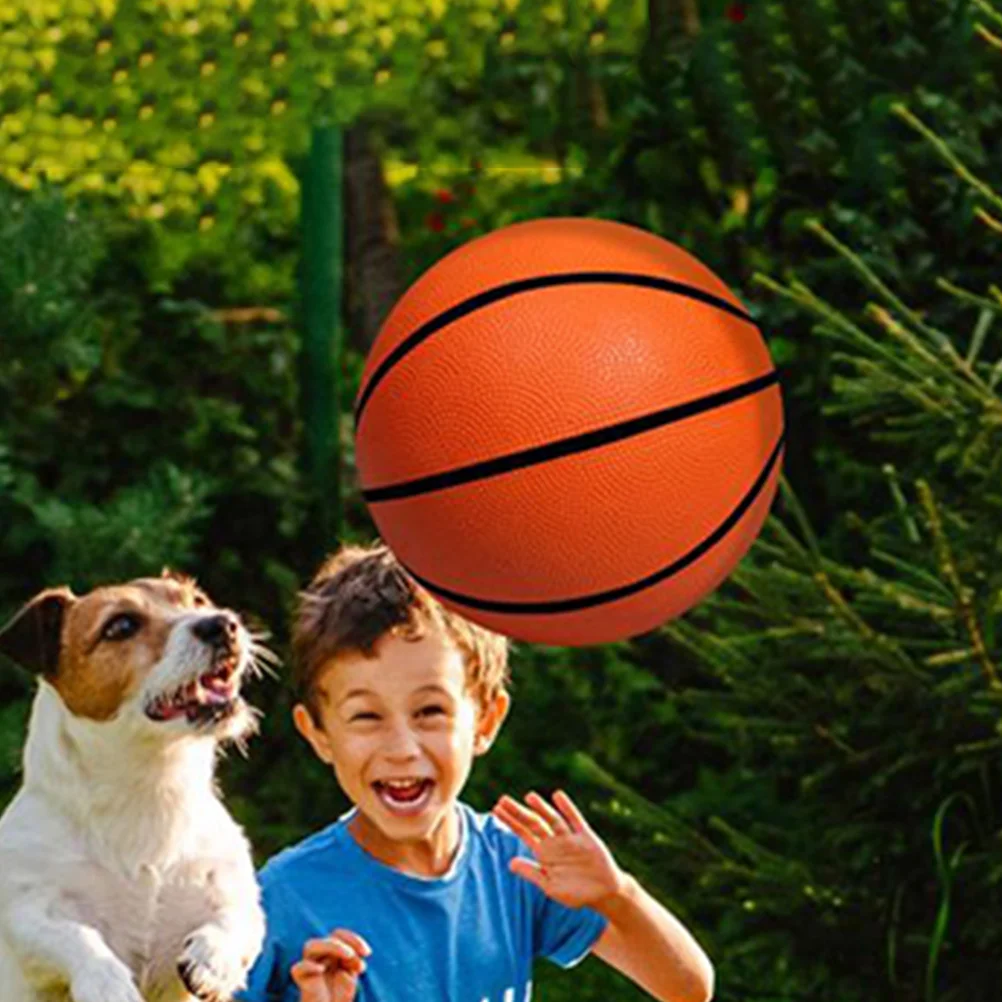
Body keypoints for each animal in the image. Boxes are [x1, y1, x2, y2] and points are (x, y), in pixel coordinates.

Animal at [0, 573, 270, 1002]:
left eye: (197, 600)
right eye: (121, 626)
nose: (222, 623)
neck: (150, 788)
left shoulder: (232, 891)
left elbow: (236, 919)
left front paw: (213, 960)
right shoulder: (29, 911)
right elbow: (74, 935)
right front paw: (106, 981)